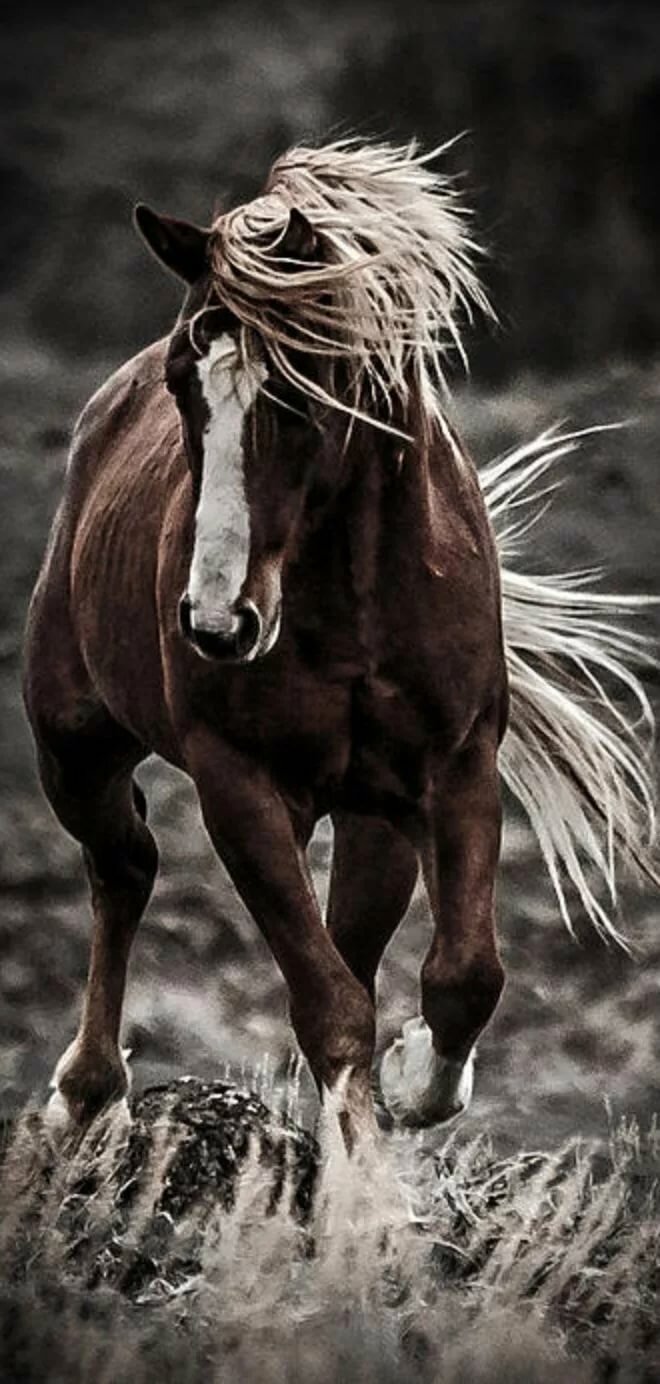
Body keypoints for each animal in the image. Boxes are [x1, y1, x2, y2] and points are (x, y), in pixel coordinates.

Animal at [23, 139, 658, 1148]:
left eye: (296, 390)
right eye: (182, 383)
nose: (216, 624)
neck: (352, 604)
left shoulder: (455, 768)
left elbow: (462, 977)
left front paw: (412, 1084)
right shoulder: (238, 783)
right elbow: (329, 1008)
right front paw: (361, 1175)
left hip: (370, 819)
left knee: (344, 938)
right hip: (73, 747)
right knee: (123, 868)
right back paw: (85, 1091)